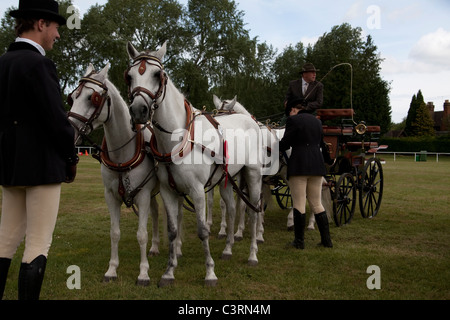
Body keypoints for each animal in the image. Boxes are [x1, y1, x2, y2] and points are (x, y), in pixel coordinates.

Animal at [67, 63, 161, 286]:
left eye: (92, 98)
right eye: (72, 97)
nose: (69, 131)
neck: (121, 154)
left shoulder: (142, 194)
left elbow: (141, 234)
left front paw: (143, 273)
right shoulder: (111, 196)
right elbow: (115, 232)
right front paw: (112, 269)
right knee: (155, 212)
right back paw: (154, 247)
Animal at [126, 41, 264, 286]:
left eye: (157, 74)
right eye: (129, 76)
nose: (138, 111)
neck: (177, 139)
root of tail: (251, 120)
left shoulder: (198, 190)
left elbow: (202, 230)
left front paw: (210, 272)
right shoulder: (168, 191)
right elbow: (172, 230)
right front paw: (169, 272)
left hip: (254, 176)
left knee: (253, 212)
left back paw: (252, 255)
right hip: (227, 180)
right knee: (231, 210)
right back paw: (228, 249)